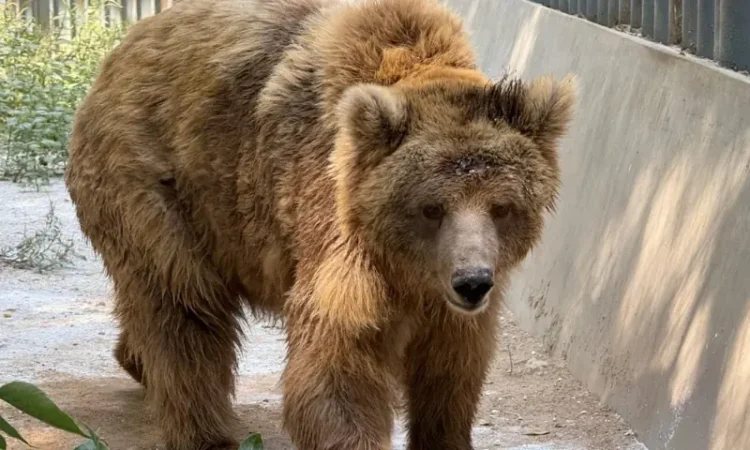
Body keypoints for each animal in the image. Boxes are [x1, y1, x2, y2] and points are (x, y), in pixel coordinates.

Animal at [64, 0, 576, 448]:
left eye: (502, 206)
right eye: (431, 207)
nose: (472, 282)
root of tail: (121, 51)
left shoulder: (454, 296)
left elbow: (450, 369)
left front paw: (445, 435)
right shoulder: (336, 226)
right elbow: (338, 366)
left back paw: (134, 359)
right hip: (162, 181)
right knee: (183, 309)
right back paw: (206, 432)